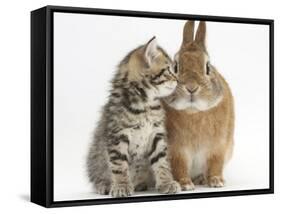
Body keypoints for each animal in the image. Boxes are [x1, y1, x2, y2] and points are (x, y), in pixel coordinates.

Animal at [86, 37, 180, 197]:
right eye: (168, 70)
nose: (178, 80)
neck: (145, 104)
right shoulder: (118, 134)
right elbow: (119, 164)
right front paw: (122, 186)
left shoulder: (157, 134)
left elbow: (162, 161)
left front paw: (167, 183)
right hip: (94, 157)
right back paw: (104, 185)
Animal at [163, 20, 233, 190]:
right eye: (175, 66)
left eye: (208, 67)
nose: (191, 87)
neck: (193, 111)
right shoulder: (176, 151)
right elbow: (179, 167)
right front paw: (185, 184)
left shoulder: (218, 147)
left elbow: (215, 164)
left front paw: (216, 181)